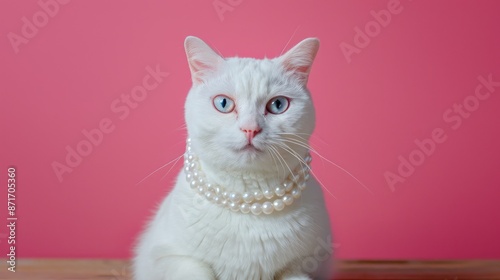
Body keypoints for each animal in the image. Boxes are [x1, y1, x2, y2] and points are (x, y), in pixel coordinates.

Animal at [135, 36, 334, 278]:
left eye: (278, 105)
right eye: (223, 103)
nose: (250, 129)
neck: (246, 200)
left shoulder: (305, 263)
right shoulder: (168, 256)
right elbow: (197, 271)